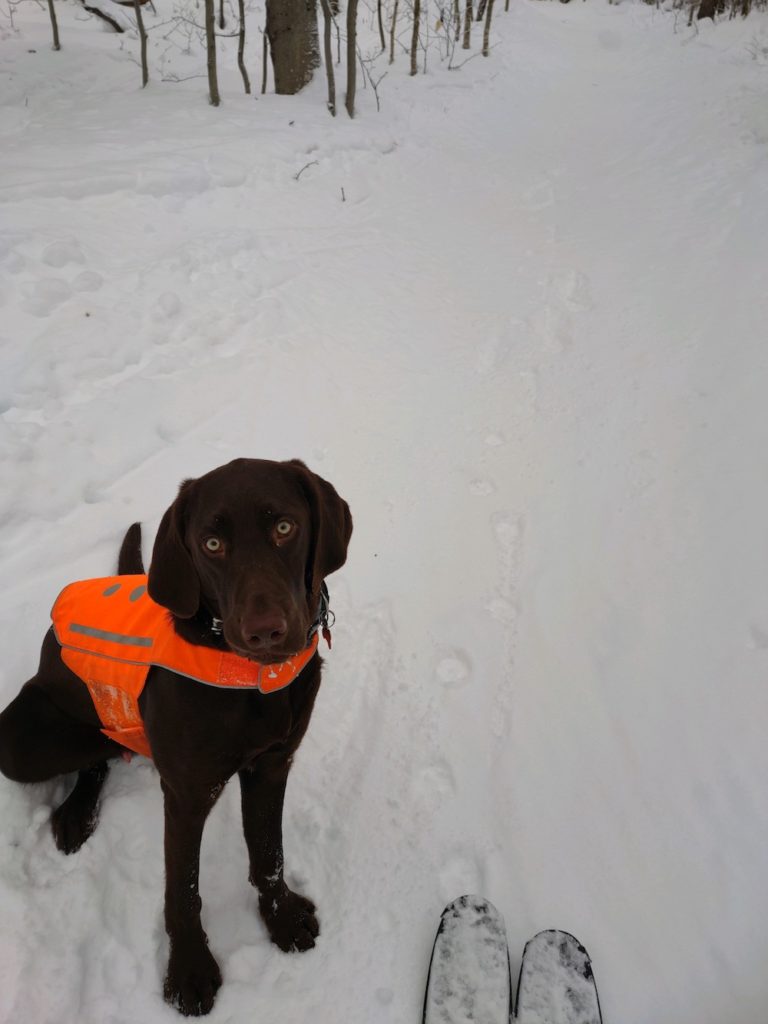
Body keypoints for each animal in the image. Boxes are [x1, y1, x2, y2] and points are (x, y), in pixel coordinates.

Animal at [0, 462, 354, 1015]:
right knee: (102, 747)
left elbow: (268, 855)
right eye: (212, 543)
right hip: (19, 741)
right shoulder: (189, 792)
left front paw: (280, 918)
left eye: (284, 527)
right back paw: (79, 810)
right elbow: (183, 889)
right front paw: (189, 970)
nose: (265, 633)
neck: (250, 681)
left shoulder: (273, 764)